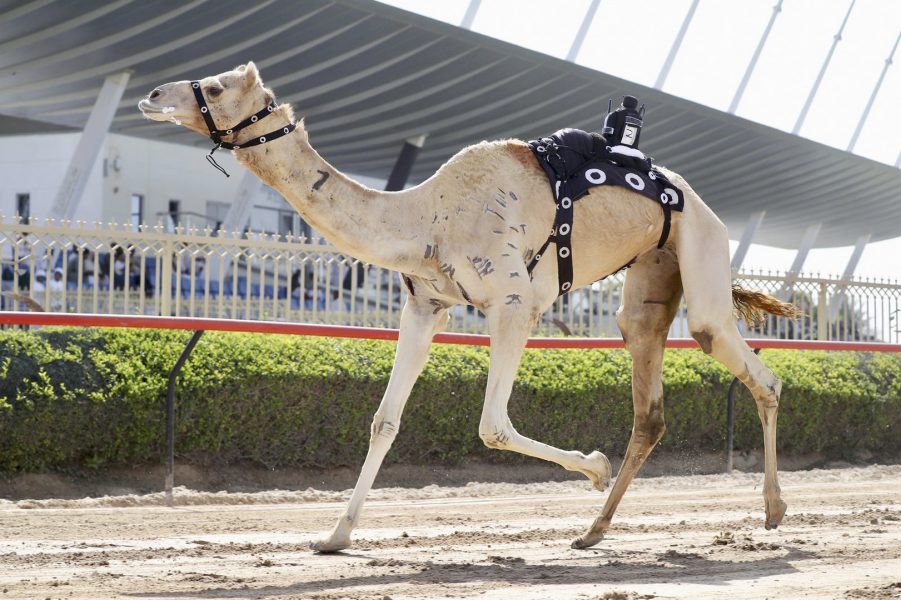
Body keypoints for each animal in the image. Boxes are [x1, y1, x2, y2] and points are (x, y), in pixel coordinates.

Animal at [139, 62, 799, 552]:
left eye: (216, 88)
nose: (151, 94)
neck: (425, 217)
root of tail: (699, 201)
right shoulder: (425, 304)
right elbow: (384, 421)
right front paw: (335, 536)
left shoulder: (513, 302)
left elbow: (492, 425)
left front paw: (592, 465)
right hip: (650, 281)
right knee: (651, 404)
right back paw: (593, 531)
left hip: (702, 250)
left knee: (750, 367)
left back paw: (772, 510)